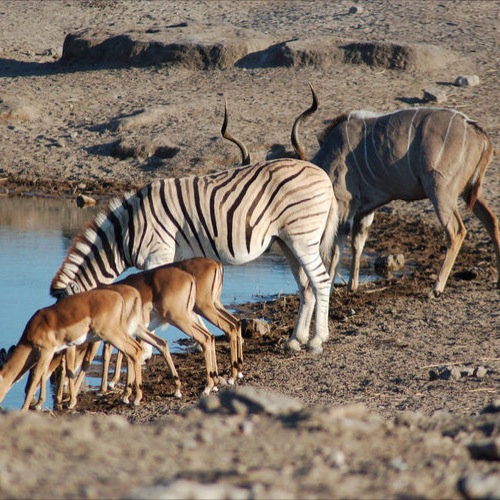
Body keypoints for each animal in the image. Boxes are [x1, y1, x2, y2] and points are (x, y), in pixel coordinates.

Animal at [50, 159, 338, 352]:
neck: (126, 232)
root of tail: (323, 175)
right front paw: (200, 341)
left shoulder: (158, 254)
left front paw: (147, 350)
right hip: (288, 241)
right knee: (306, 286)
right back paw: (296, 340)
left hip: (303, 237)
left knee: (321, 281)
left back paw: (317, 340)